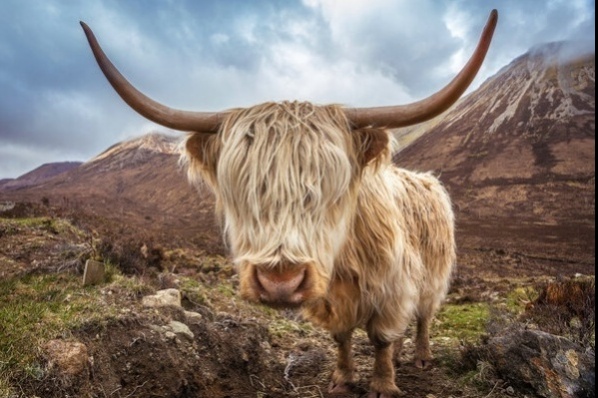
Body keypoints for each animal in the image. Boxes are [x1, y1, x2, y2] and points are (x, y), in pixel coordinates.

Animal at [82, 10, 500, 396]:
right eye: (242, 187)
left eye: (331, 187)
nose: (279, 282)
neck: (343, 266)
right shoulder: (331, 301)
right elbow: (342, 337)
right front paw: (342, 380)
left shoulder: (393, 286)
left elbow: (380, 337)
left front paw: (382, 384)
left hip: (433, 275)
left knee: (424, 316)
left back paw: (422, 357)